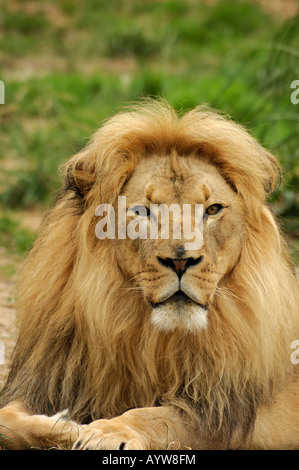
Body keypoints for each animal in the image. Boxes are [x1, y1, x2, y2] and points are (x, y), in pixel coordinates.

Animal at [0, 100, 299, 452]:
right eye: (142, 211)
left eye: (212, 210)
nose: (181, 261)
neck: (149, 337)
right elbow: (6, 419)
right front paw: (64, 426)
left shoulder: (227, 409)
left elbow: (161, 416)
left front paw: (106, 431)